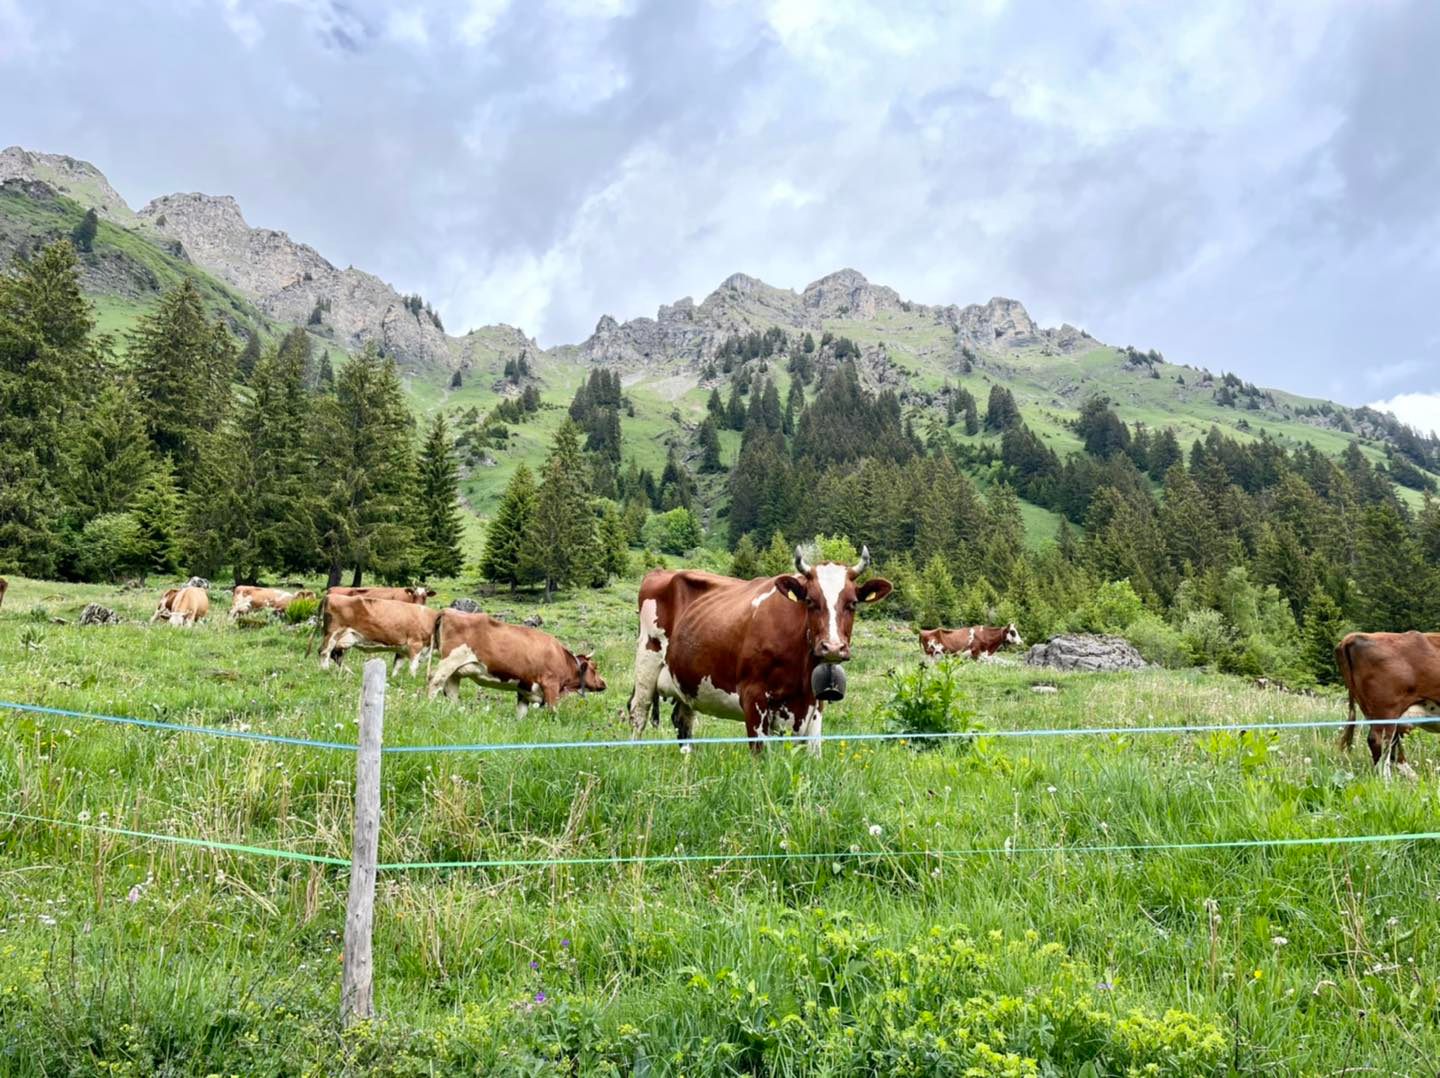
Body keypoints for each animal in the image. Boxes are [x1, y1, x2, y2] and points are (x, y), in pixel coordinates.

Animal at [426, 604, 607, 713]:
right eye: (594, 667)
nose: (604, 683)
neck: (561, 657)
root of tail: (447, 610)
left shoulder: (525, 688)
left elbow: (521, 713)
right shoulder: (551, 685)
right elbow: (552, 711)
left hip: (456, 669)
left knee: (451, 689)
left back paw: (457, 711)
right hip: (449, 660)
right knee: (435, 680)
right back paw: (428, 706)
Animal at [627, 541, 887, 754]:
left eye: (852, 603)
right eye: (811, 601)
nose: (832, 647)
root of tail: (660, 573)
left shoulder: (814, 704)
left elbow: (814, 753)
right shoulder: (753, 697)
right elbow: (760, 755)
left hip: (687, 680)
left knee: (683, 721)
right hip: (646, 662)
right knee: (638, 713)